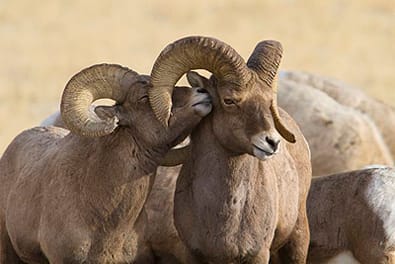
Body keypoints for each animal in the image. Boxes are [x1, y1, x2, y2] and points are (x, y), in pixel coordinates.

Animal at [148, 36, 312, 262]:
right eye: (229, 100)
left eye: (269, 101)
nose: (272, 142)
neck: (227, 213)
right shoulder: (192, 254)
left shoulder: (258, 254)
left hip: (297, 240)